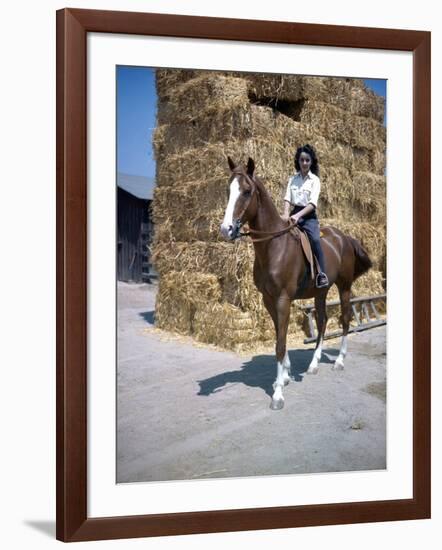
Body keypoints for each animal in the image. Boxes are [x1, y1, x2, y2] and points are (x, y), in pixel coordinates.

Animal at [219, 157, 372, 412]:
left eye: (247, 191)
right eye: (228, 190)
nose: (226, 229)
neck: (274, 246)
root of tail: (344, 237)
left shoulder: (283, 299)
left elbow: (280, 344)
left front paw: (278, 394)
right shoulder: (269, 299)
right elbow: (279, 336)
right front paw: (285, 376)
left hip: (344, 287)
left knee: (344, 319)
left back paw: (339, 361)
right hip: (321, 292)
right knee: (322, 321)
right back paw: (314, 364)